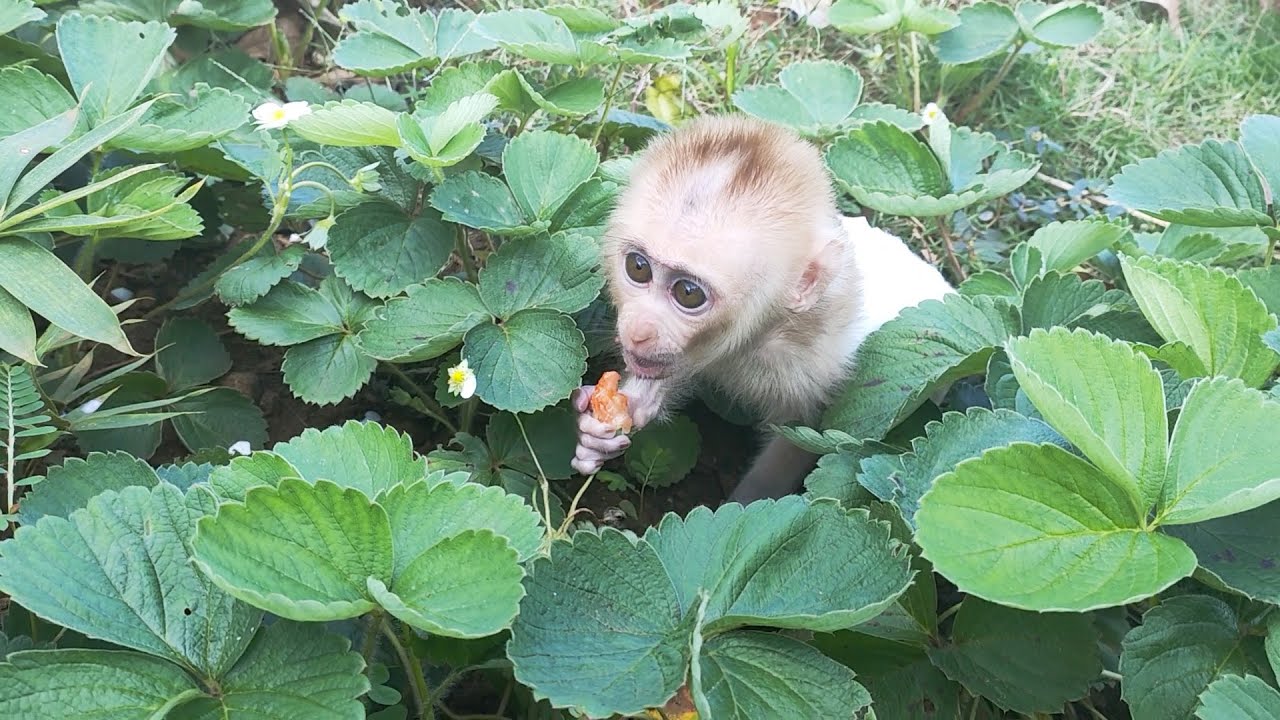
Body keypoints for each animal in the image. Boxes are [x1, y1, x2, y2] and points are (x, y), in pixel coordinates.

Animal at [569, 114, 955, 505]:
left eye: (688, 293)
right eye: (638, 268)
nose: (639, 330)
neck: (758, 335)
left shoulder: (820, 367)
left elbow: (797, 442)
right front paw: (609, 425)